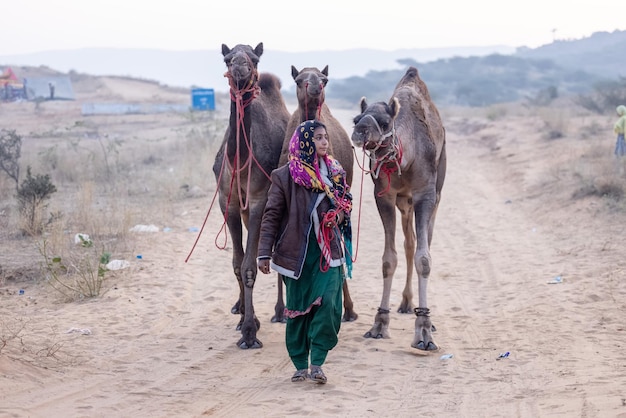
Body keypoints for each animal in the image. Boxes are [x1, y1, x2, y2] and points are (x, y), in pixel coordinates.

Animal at [210, 42, 288, 350]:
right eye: (227, 58)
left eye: (254, 59)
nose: (240, 68)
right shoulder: (228, 203)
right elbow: (236, 262)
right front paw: (244, 317)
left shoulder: (258, 201)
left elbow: (249, 266)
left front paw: (250, 333)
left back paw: (281, 312)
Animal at [352, 67, 444, 352]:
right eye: (356, 118)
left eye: (384, 122)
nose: (360, 131)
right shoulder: (384, 195)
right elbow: (388, 259)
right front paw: (379, 324)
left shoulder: (425, 195)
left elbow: (425, 259)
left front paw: (424, 331)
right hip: (404, 203)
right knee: (409, 244)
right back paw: (405, 303)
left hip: (436, 194)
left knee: (423, 243)